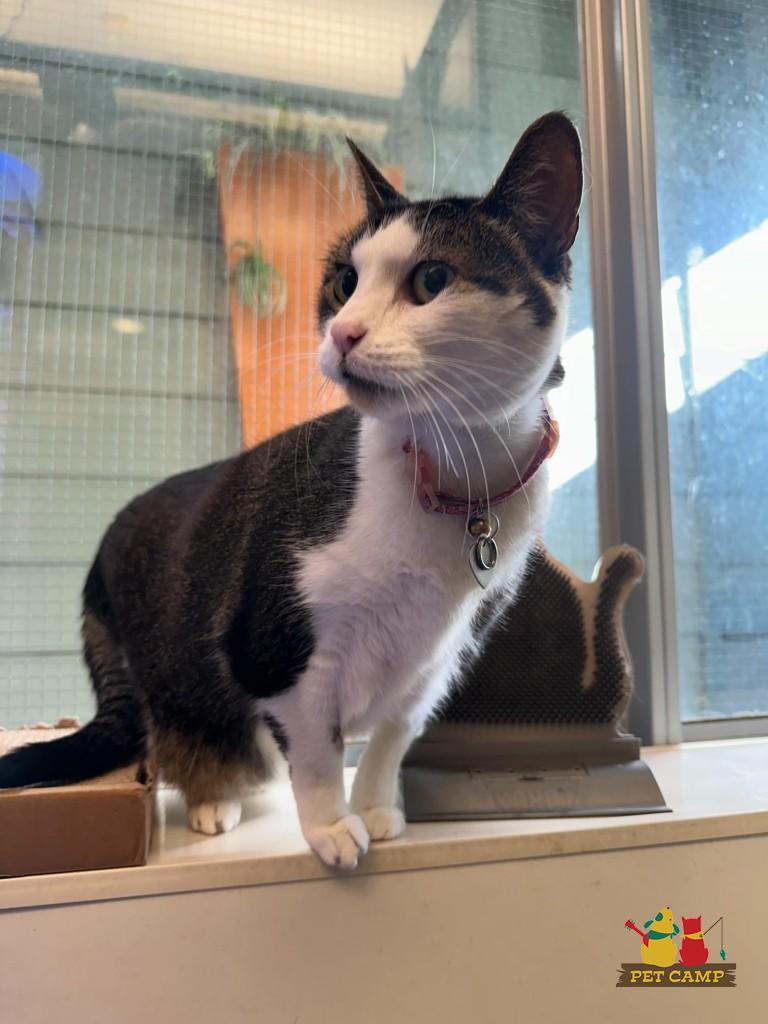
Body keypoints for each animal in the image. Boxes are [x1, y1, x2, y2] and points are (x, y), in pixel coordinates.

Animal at [0, 112, 583, 869]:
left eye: (432, 278)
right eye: (344, 282)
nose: (344, 332)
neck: (453, 477)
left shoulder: (441, 659)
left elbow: (390, 739)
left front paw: (377, 808)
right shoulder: (275, 651)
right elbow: (315, 747)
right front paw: (332, 827)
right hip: (180, 677)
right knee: (197, 735)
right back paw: (212, 801)